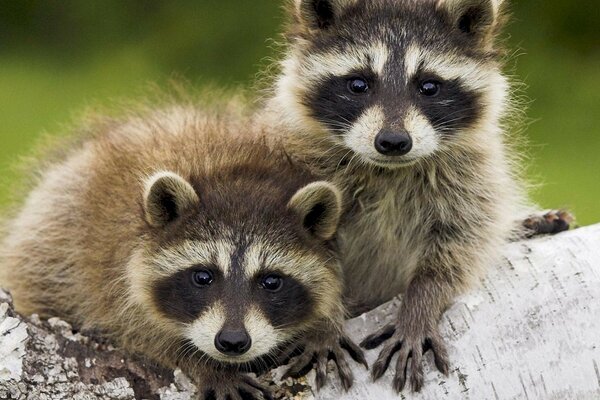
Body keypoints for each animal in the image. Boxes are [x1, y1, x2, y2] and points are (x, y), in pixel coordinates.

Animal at [0, 107, 364, 400]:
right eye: (203, 276)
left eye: (271, 282)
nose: (233, 342)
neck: (234, 171)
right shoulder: (111, 268)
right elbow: (137, 330)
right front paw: (203, 364)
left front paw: (324, 324)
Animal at [260, 0, 576, 394]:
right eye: (358, 84)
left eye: (429, 86)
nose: (393, 141)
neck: (389, 170)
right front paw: (322, 323)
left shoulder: (471, 177)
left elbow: (460, 245)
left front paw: (421, 302)